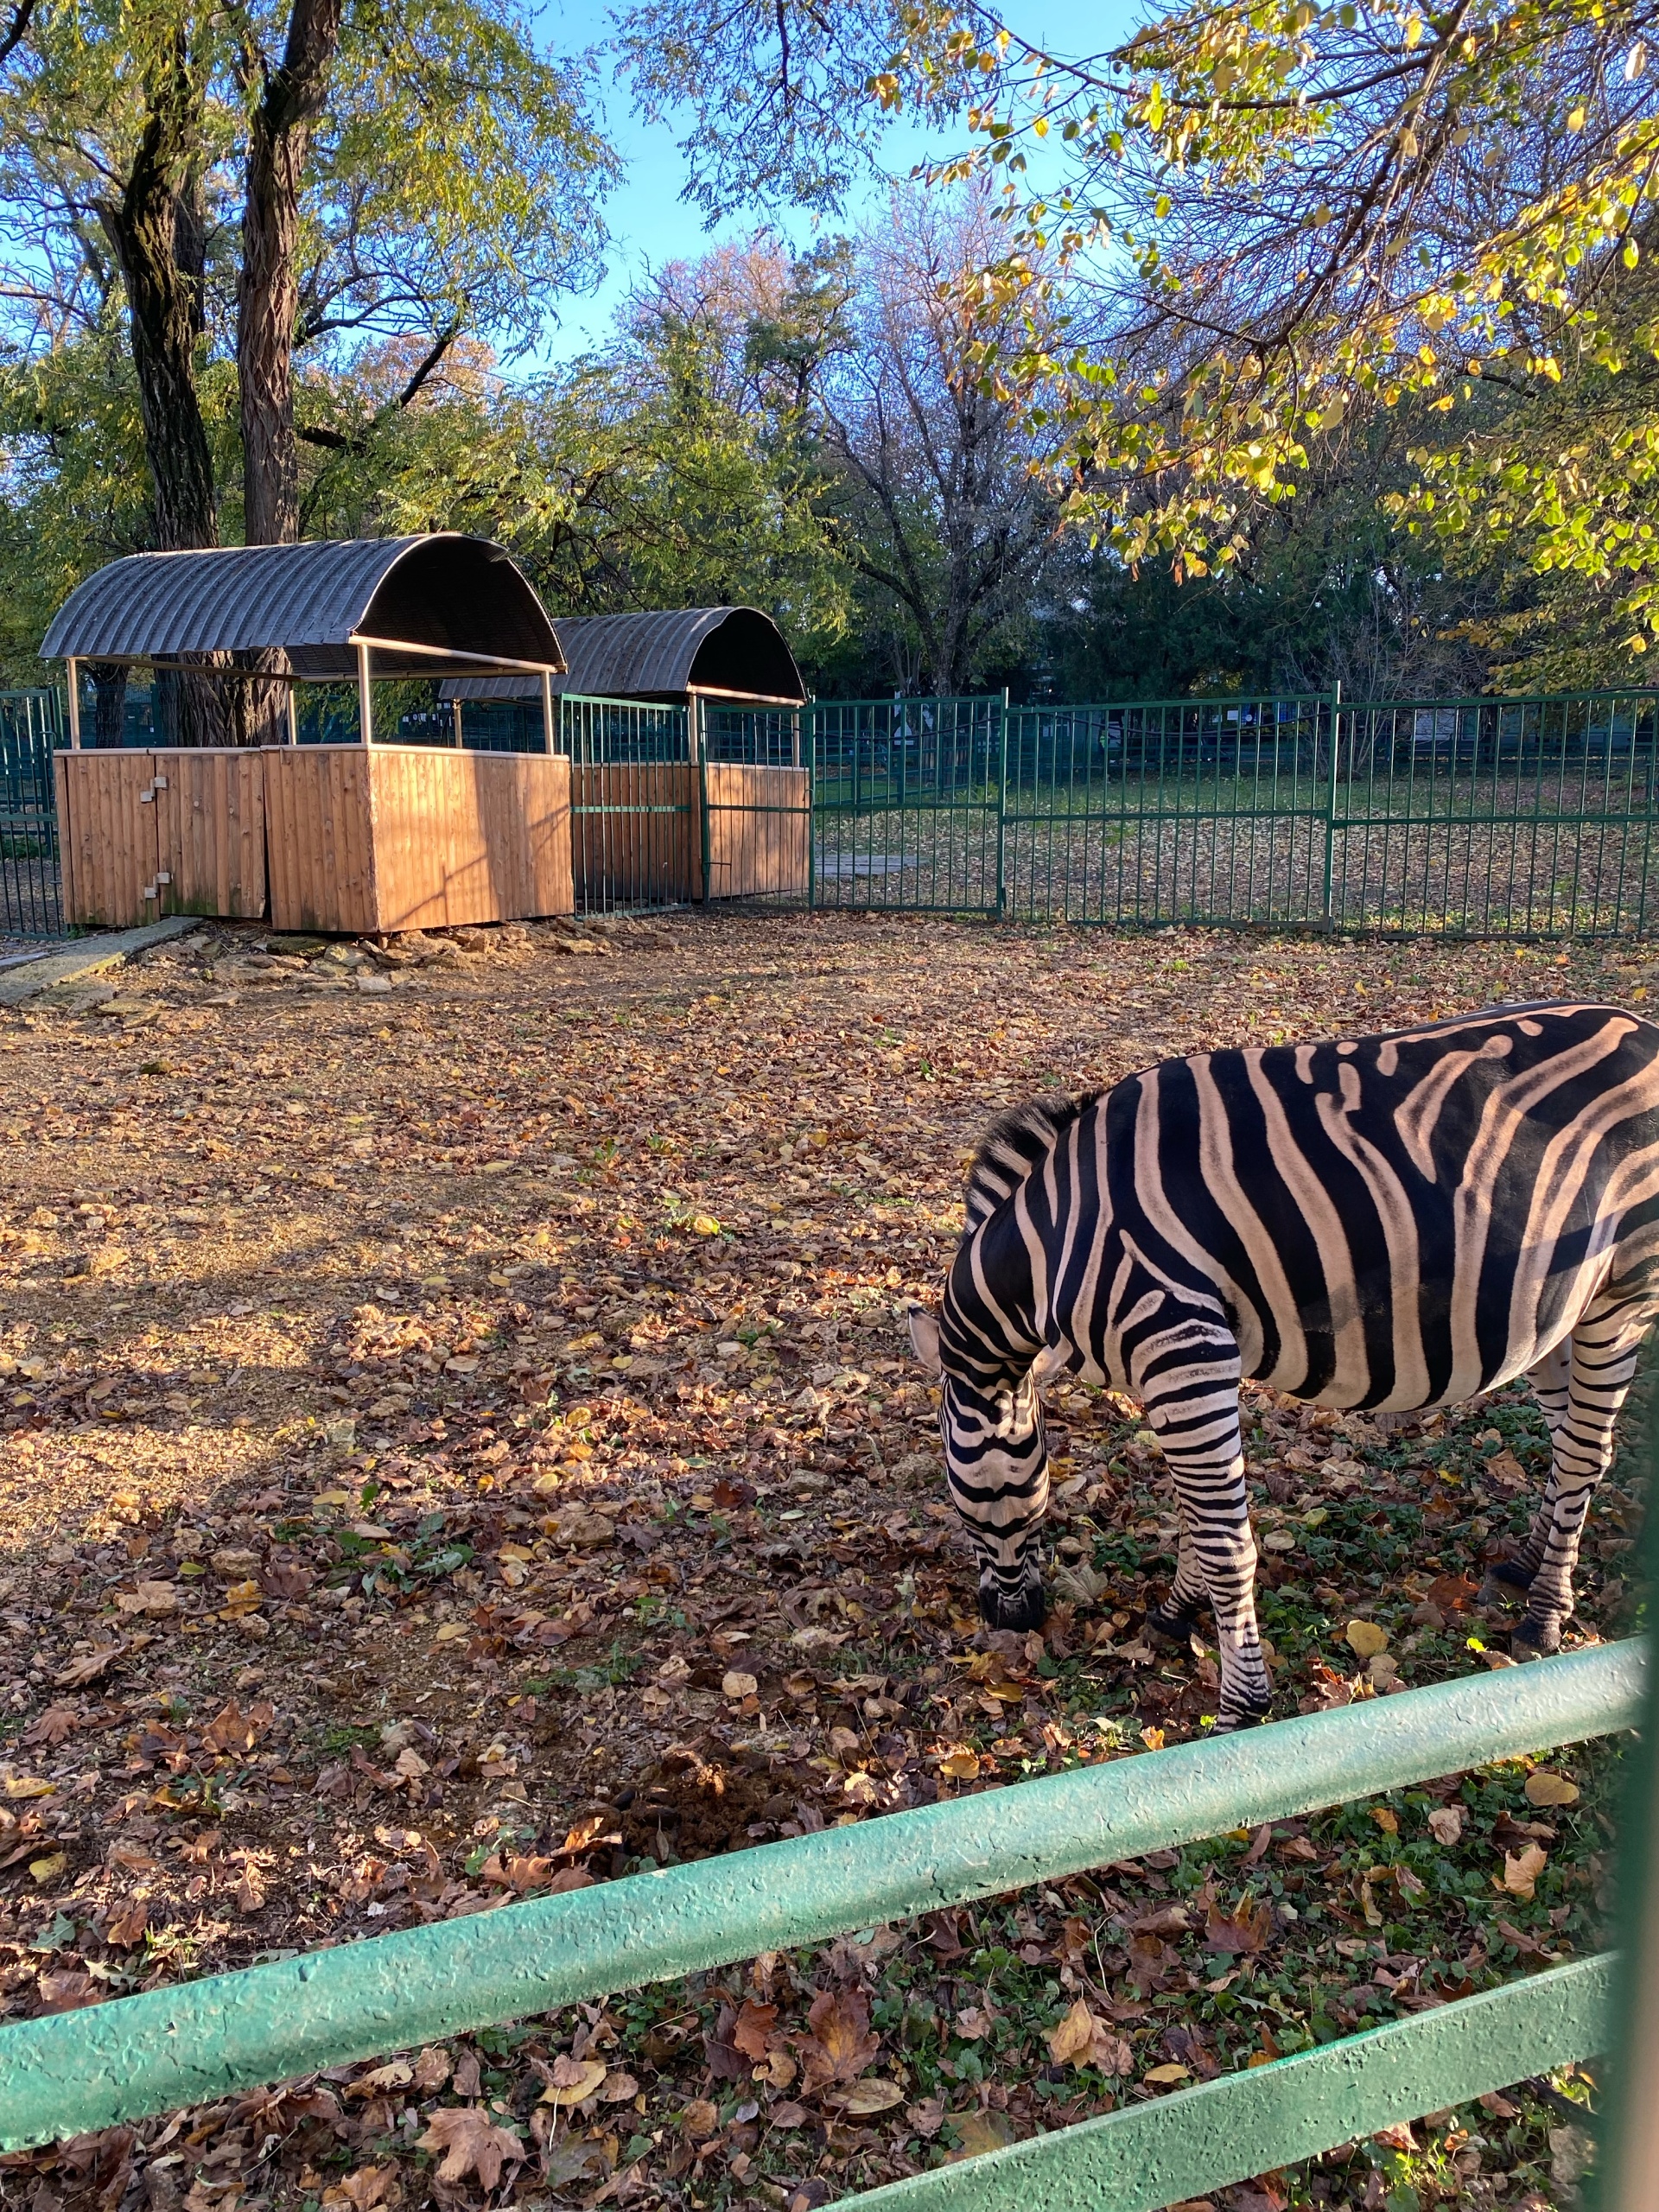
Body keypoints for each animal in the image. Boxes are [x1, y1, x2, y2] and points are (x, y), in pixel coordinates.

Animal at [911, 1000, 1659, 1725]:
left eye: (953, 1482)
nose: (1010, 1625)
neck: (1053, 1242)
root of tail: (1640, 1025)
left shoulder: (1183, 1347)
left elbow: (1225, 1541)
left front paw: (1241, 1713)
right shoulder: (1180, 1369)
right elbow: (1194, 1512)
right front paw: (1177, 1613)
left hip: (1621, 1293)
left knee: (1585, 1453)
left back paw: (1543, 1618)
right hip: (1554, 1314)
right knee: (1572, 1446)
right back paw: (1525, 1569)